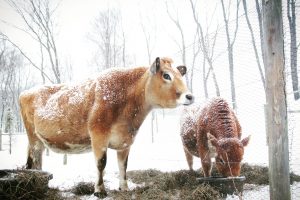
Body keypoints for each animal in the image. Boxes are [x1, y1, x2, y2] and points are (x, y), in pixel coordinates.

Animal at [19, 56, 192, 197]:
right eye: (166, 75)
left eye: (180, 75)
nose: (190, 96)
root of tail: (27, 92)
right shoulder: (98, 135)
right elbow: (101, 163)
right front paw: (99, 191)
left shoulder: (125, 141)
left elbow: (123, 165)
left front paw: (124, 188)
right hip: (33, 138)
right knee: (35, 159)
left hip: (37, 139)